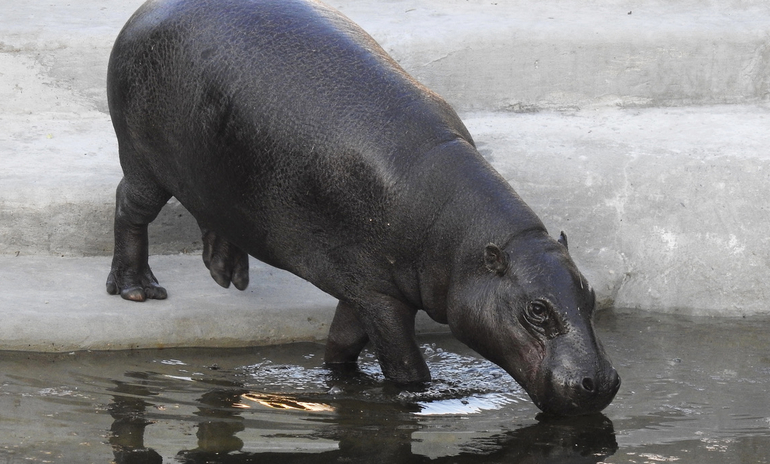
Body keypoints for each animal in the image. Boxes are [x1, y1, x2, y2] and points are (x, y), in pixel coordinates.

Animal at [106, 0, 616, 416]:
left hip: (212, 171)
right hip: (143, 163)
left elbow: (342, 343)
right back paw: (136, 289)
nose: (603, 382)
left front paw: (341, 382)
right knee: (129, 208)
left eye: (590, 294)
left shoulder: (365, 287)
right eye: (537, 310)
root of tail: (143, 12)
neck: (459, 241)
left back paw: (229, 274)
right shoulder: (381, 299)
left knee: (211, 214)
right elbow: (406, 367)